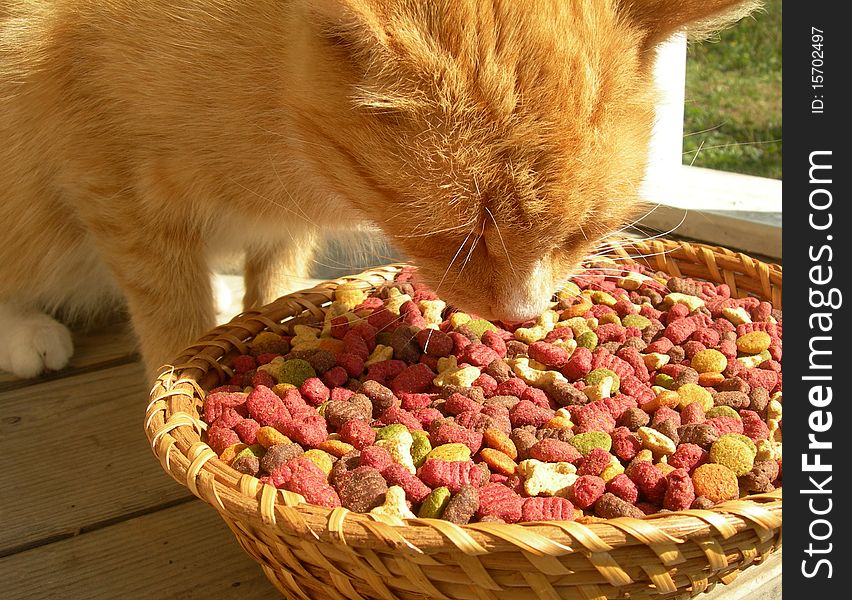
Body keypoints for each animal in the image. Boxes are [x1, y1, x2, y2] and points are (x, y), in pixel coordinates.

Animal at [0, 0, 760, 378]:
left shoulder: (285, 226)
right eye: (460, 238)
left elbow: (274, 281)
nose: (521, 318)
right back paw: (27, 336)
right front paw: (183, 374)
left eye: (582, 234)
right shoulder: (110, 178)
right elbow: (173, 317)